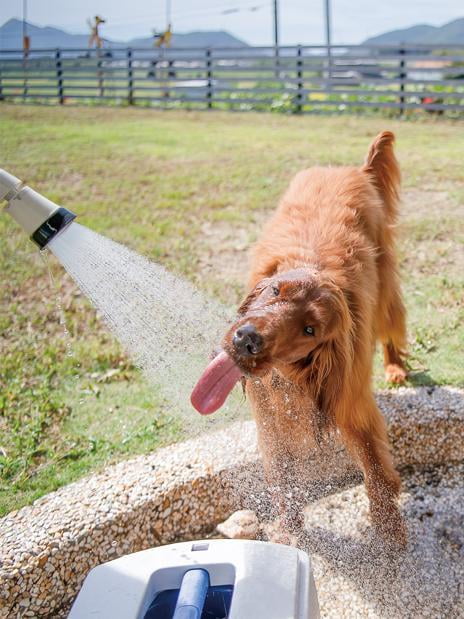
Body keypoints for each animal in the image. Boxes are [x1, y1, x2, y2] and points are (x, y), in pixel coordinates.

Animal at [190, 132, 408, 548]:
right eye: (275, 290)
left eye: (310, 329)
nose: (246, 339)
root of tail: (354, 169)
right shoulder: (272, 419)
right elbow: (282, 476)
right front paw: (291, 534)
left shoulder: (352, 404)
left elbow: (376, 472)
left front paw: (390, 540)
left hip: (386, 288)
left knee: (393, 328)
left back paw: (395, 368)